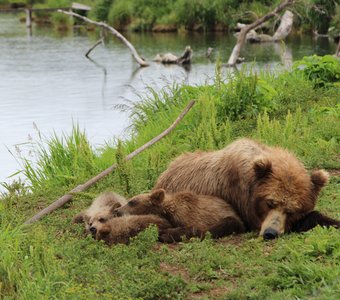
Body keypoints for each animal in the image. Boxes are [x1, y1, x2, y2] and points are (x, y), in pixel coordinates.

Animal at [115, 189, 246, 243]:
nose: (117, 210)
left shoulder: (192, 214)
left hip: (229, 217)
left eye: (132, 202)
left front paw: (165, 234)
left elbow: (194, 228)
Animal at [155, 138, 340, 239]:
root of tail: (166, 169)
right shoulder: (240, 197)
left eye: (292, 210)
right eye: (270, 202)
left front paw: (332, 221)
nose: (270, 233)